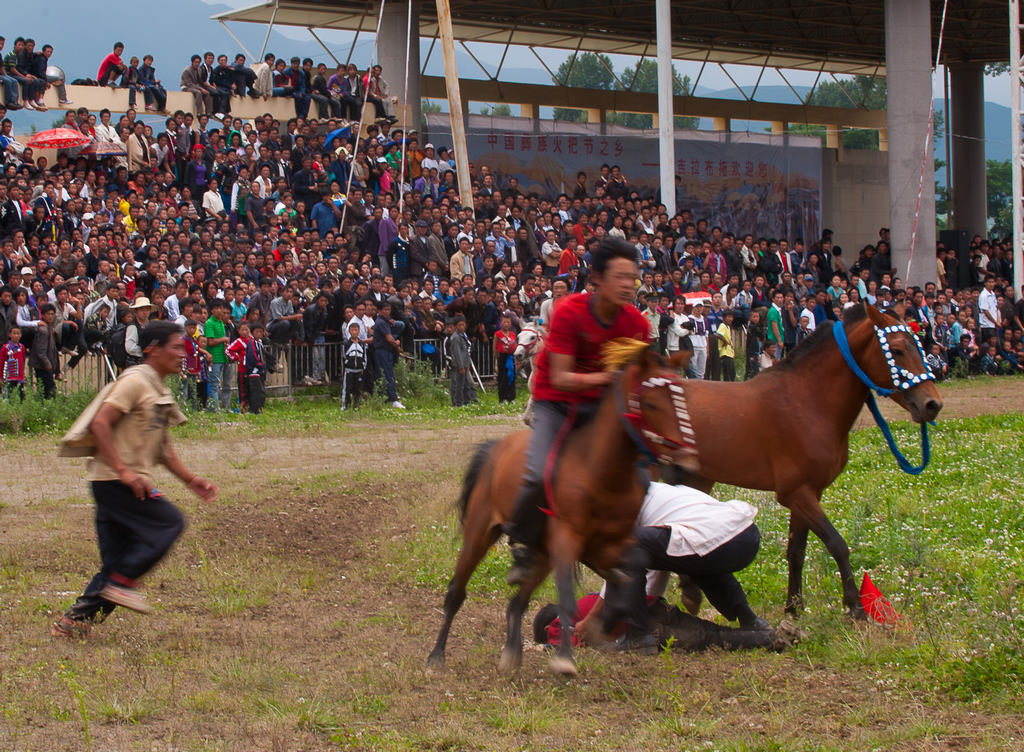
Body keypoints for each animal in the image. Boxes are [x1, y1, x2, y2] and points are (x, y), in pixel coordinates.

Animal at [423, 348, 696, 676]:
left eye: (684, 401)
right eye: (651, 403)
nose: (685, 466)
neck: (603, 471)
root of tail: (494, 450)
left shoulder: (610, 545)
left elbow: (635, 567)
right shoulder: (567, 539)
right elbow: (567, 598)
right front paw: (566, 657)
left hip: (541, 554)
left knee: (517, 603)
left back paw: (511, 652)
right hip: (480, 531)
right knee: (457, 592)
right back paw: (437, 656)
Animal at [663, 303, 942, 622]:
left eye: (919, 347)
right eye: (896, 350)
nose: (932, 404)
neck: (807, 402)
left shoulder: (809, 493)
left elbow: (796, 551)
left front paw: (794, 607)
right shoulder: (796, 493)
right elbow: (837, 544)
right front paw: (855, 607)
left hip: (697, 479)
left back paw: (690, 592)